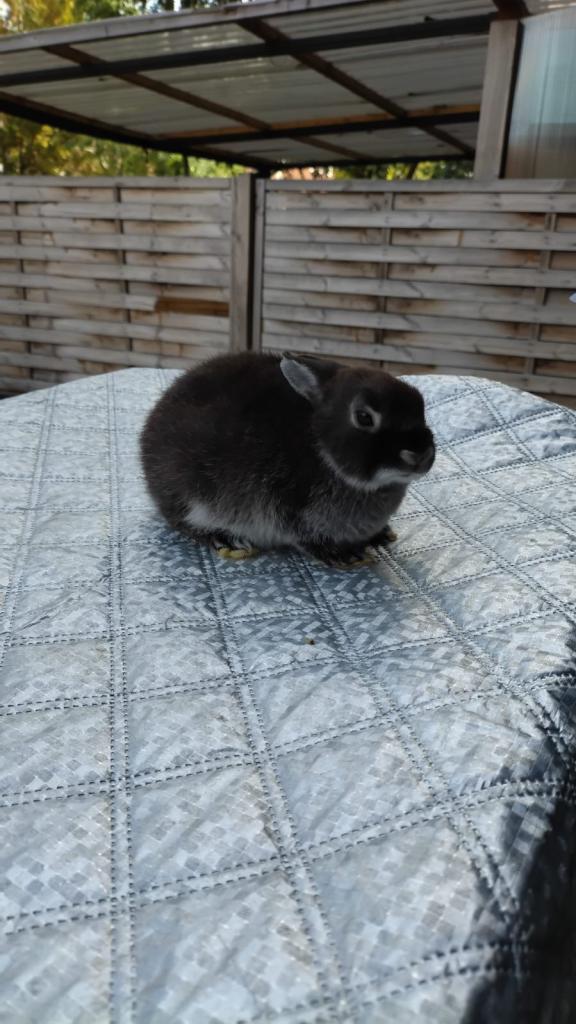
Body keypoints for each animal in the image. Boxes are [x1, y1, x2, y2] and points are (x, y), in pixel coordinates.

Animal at [140, 351, 435, 568]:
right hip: (191, 496)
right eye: (364, 417)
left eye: (420, 404)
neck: (322, 449)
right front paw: (346, 556)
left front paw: (380, 534)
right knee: (183, 522)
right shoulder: (288, 507)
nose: (421, 455)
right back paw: (229, 540)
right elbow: (306, 538)